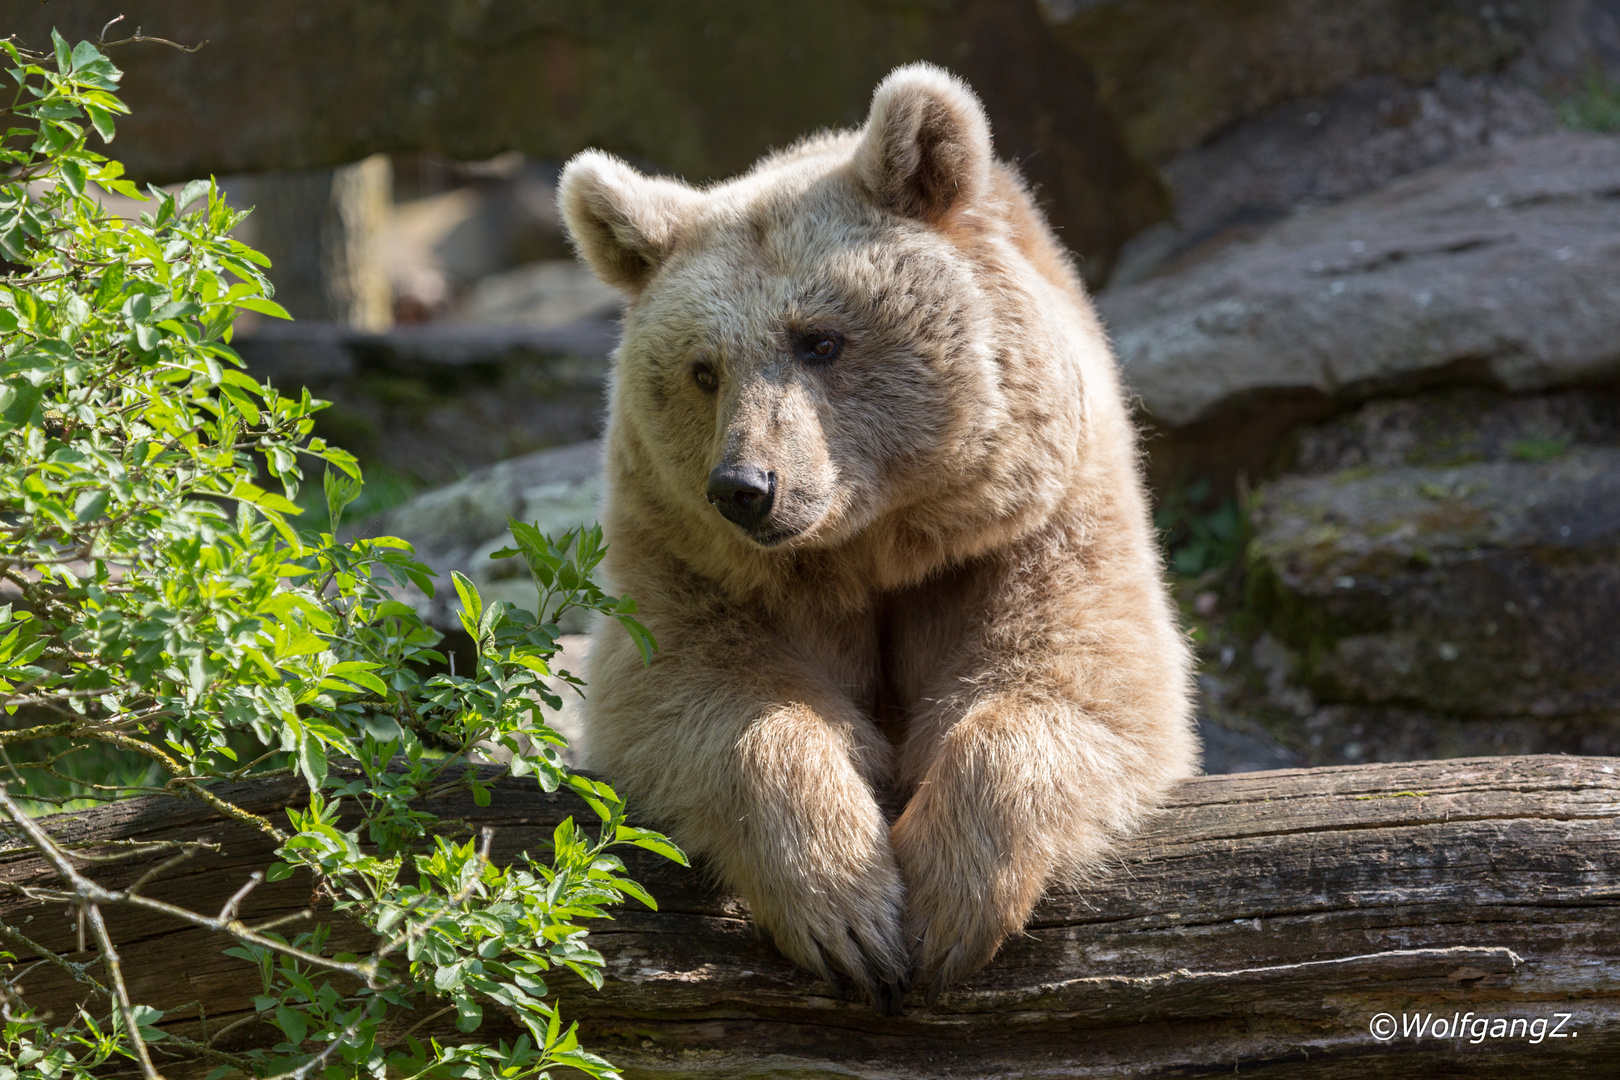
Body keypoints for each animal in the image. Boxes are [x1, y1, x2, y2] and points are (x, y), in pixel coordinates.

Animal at [563, 65, 1198, 1016]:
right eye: (703, 369)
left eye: (820, 339)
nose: (746, 488)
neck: (873, 547)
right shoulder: (687, 552)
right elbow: (687, 691)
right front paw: (847, 910)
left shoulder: (1033, 521)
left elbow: (1078, 674)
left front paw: (946, 902)